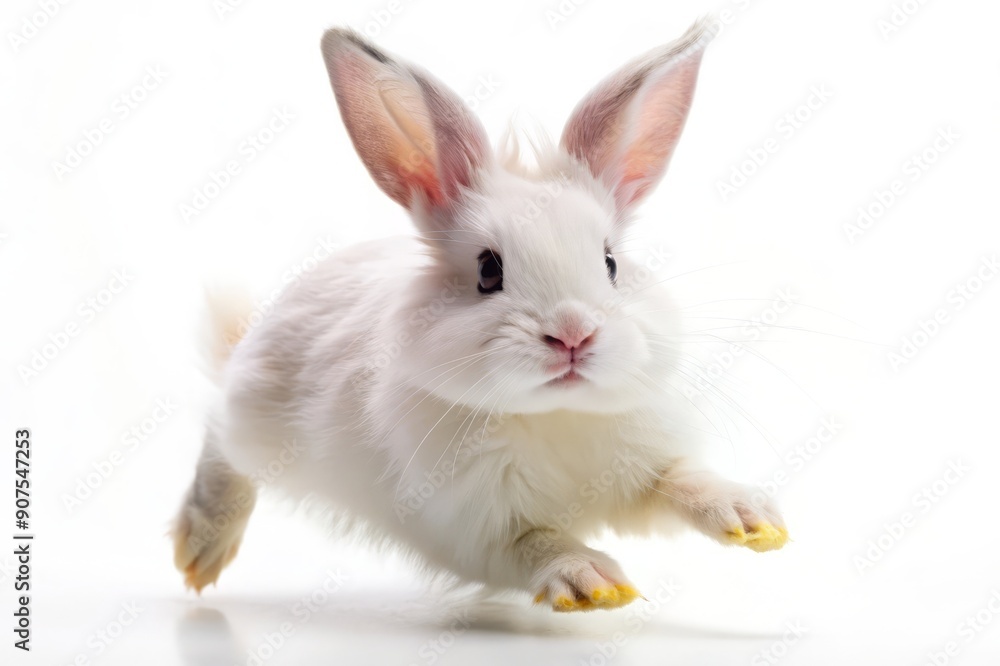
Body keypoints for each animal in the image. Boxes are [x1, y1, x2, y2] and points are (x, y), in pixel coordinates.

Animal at [171, 17, 787, 612]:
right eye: (489, 271)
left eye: (611, 262)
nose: (573, 334)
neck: (554, 414)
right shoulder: (473, 534)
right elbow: (537, 543)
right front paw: (591, 584)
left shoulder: (645, 471)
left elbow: (682, 481)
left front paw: (753, 519)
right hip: (254, 420)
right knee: (219, 444)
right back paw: (200, 551)